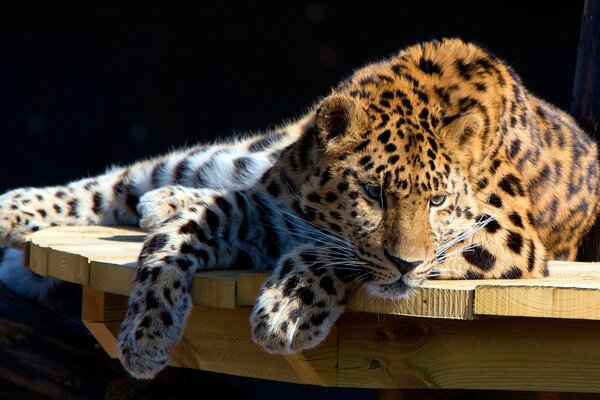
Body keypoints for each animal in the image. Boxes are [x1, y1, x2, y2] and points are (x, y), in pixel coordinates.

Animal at [0, 39, 596, 380]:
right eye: (373, 193)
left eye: (437, 201)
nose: (406, 267)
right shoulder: (270, 209)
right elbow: (183, 234)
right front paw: (146, 334)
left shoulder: (508, 239)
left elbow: (334, 252)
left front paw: (285, 310)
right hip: (229, 156)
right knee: (121, 182)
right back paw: (17, 210)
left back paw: (160, 202)